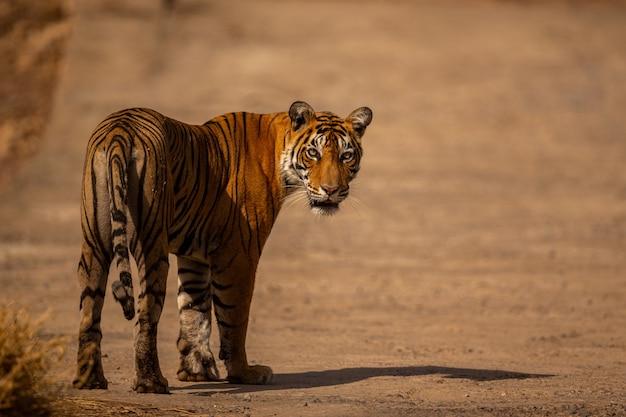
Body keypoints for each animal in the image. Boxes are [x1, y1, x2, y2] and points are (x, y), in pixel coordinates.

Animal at [75, 100, 372, 390]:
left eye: (346, 156)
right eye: (313, 153)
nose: (331, 191)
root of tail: (120, 130)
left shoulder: (194, 255)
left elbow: (194, 311)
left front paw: (196, 371)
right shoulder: (239, 254)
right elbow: (234, 318)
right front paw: (244, 373)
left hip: (94, 243)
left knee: (90, 312)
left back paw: (89, 381)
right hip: (152, 247)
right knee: (146, 313)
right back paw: (151, 382)